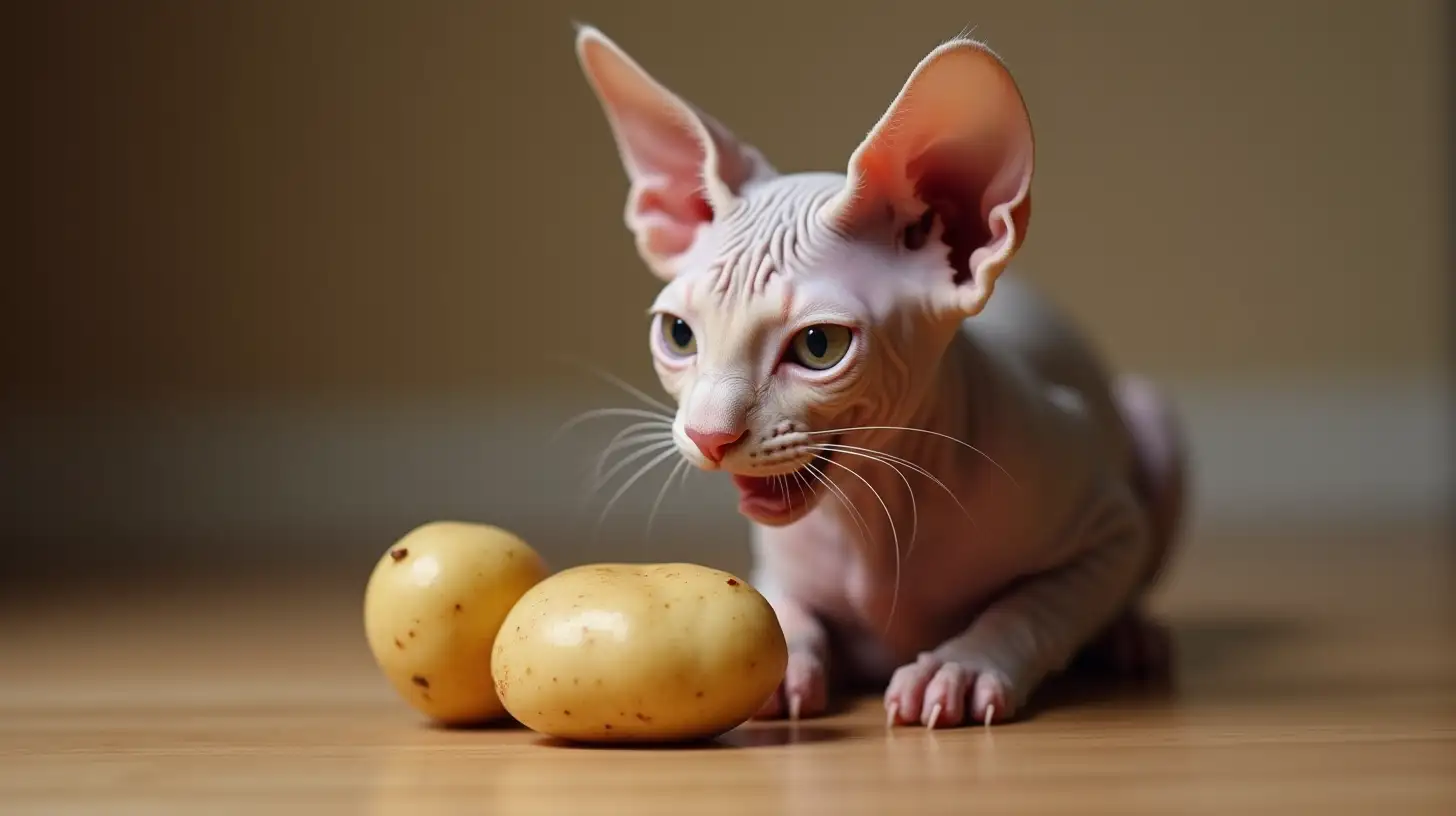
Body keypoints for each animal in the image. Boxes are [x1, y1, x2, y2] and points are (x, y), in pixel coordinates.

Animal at [573, 23, 1188, 725]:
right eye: (679, 335)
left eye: (819, 346)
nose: (708, 436)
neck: (872, 513)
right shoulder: (776, 560)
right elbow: (785, 605)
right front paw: (785, 662)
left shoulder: (1109, 528)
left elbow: (1032, 606)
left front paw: (961, 667)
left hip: (1153, 421)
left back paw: (1130, 635)